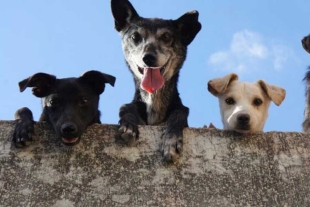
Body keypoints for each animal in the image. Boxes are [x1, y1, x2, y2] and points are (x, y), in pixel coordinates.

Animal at [111, 0, 201, 162]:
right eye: (135, 36)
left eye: (166, 36)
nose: (148, 58)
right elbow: (125, 107)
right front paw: (129, 125)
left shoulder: (180, 111)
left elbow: (179, 113)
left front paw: (171, 140)